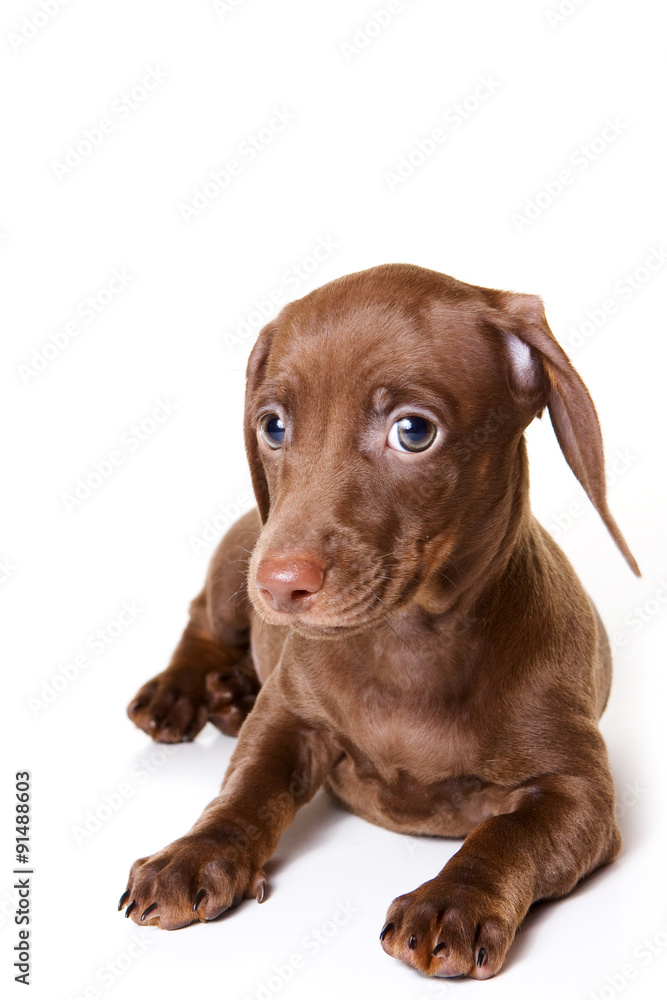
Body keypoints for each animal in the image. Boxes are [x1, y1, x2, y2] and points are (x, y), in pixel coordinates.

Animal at [121, 264, 640, 976]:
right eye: (274, 426)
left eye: (413, 431)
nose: (277, 583)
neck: (411, 647)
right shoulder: (289, 717)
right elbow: (247, 790)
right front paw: (193, 854)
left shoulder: (578, 793)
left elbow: (507, 832)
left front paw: (453, 900)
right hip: (234, 568)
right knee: (202, 618)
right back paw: (184, 692)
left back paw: (230, 696)